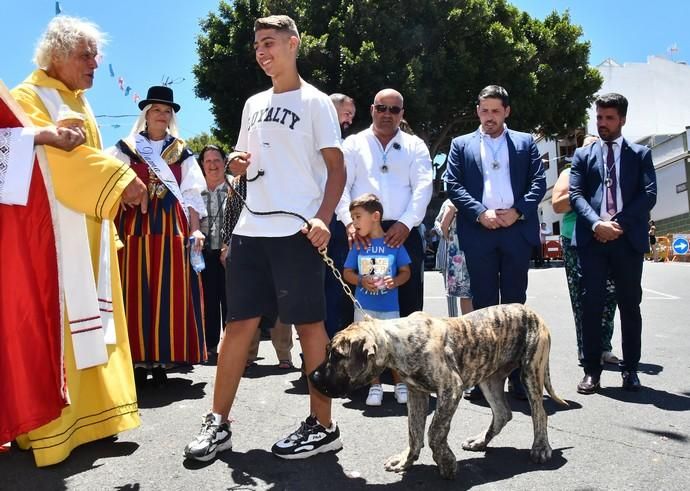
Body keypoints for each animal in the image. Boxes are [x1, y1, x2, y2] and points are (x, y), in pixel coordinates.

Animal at [310, 304, 568, 480]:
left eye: (337, 355)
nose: (313, 377)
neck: (399, 341)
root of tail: (532, 312)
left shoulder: (450, 389)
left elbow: (434, 431)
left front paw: (446, 462)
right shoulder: (416, 393)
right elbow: (414, 431)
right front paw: (406, 460)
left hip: (531, 370)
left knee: (539, 412)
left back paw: (540, 448)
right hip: (490, 378)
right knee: (503, 413)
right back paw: (479, 441)